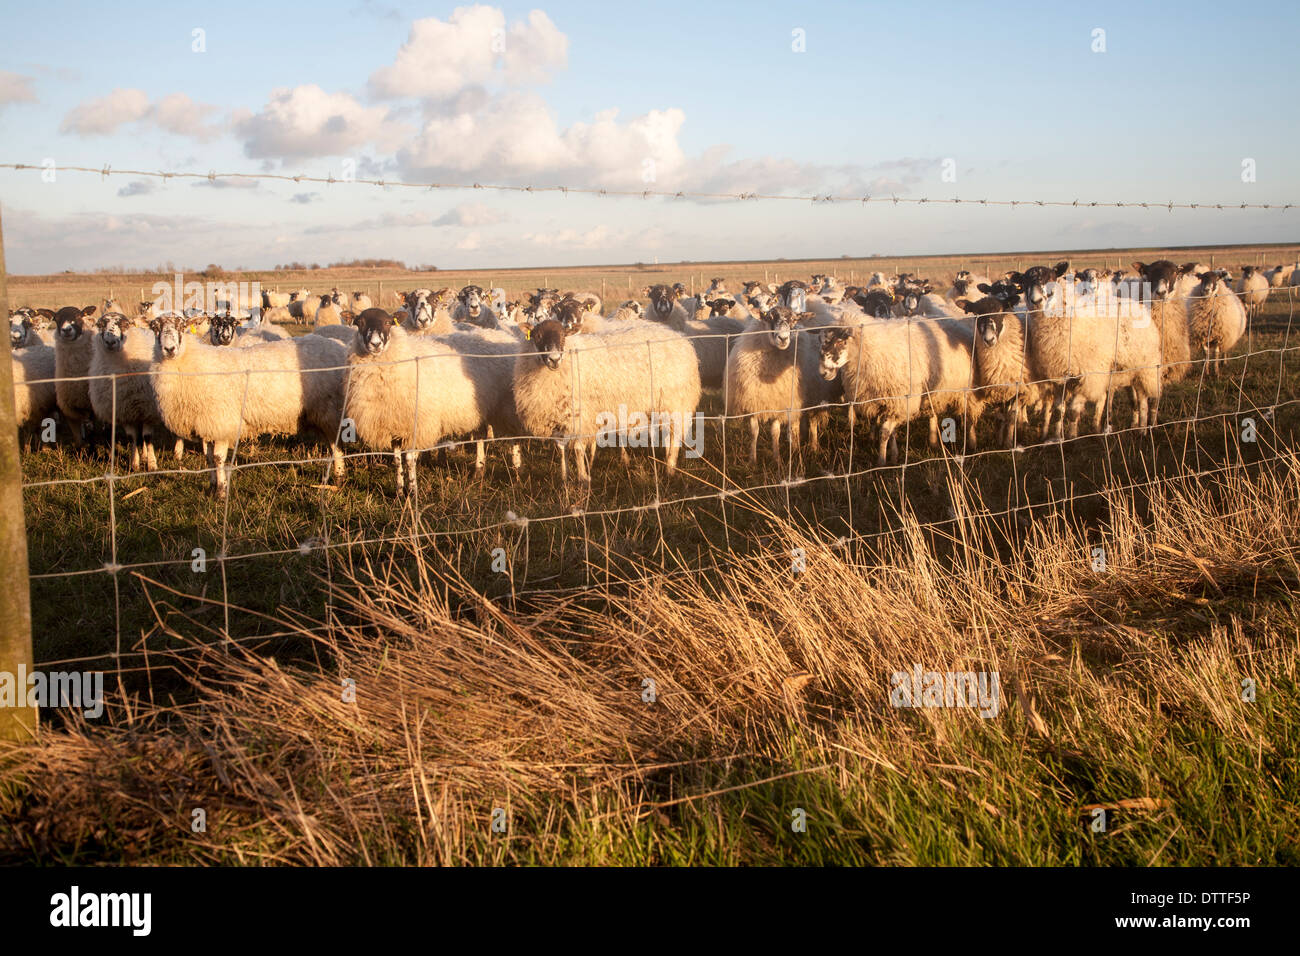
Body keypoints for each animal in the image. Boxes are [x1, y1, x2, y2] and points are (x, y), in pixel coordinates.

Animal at [87, 312, 167, 471]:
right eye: (100, 325)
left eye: (125, 324)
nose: (110, 342)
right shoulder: (124, 411)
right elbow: (132, 438)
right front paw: (134, 465)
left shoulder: (148, 410)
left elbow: (148, 437)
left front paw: (152, 465)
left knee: (143, 436)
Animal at [149, 313, 348, 498]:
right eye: (154, 328)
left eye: (182, 327)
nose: (169, 349)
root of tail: (340, 345)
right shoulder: (208, 425)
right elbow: (209, 459)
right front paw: (212, 487)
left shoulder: (222, 422)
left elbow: (218, 459)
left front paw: (221, 493)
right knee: (333, 444)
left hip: (330, 409)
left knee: (336, 445)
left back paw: (338, 477)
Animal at [343, 310, 521, 497]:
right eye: (360, 322)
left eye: (388, 322)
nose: (375, 344)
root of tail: (503, 336)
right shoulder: (394, 425)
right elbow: (397, 460)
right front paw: (399, 492)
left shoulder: (416, 424)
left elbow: (409, 459)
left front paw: (413, 491)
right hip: (480, 408)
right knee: (480, 436)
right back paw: (478, 471)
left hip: (507, 405)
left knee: (515, 438)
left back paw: (516, 472)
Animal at [513, 317, 702, 484]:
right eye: (537, 336)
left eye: (563, 336)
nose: (554, 359)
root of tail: (681, 340)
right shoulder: (557, 417)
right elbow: (561, 450)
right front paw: (565, 477)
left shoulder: (581, 416)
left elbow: (578, 449)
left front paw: (583, 478)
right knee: (670, 434)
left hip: (675, 402)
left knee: (675, 435)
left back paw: (670, 468)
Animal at [725, 306, 835, 469]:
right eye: (769, 318)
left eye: (794, 320)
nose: (783, 338)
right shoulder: (753, 402)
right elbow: (754, 432)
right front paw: (752, 461)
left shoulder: (779, 404)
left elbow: (775, 432)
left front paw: (776, 460)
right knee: (797, 422)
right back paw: (796, 445)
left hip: (815, 397)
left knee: (813, 421)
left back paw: (813, 447)